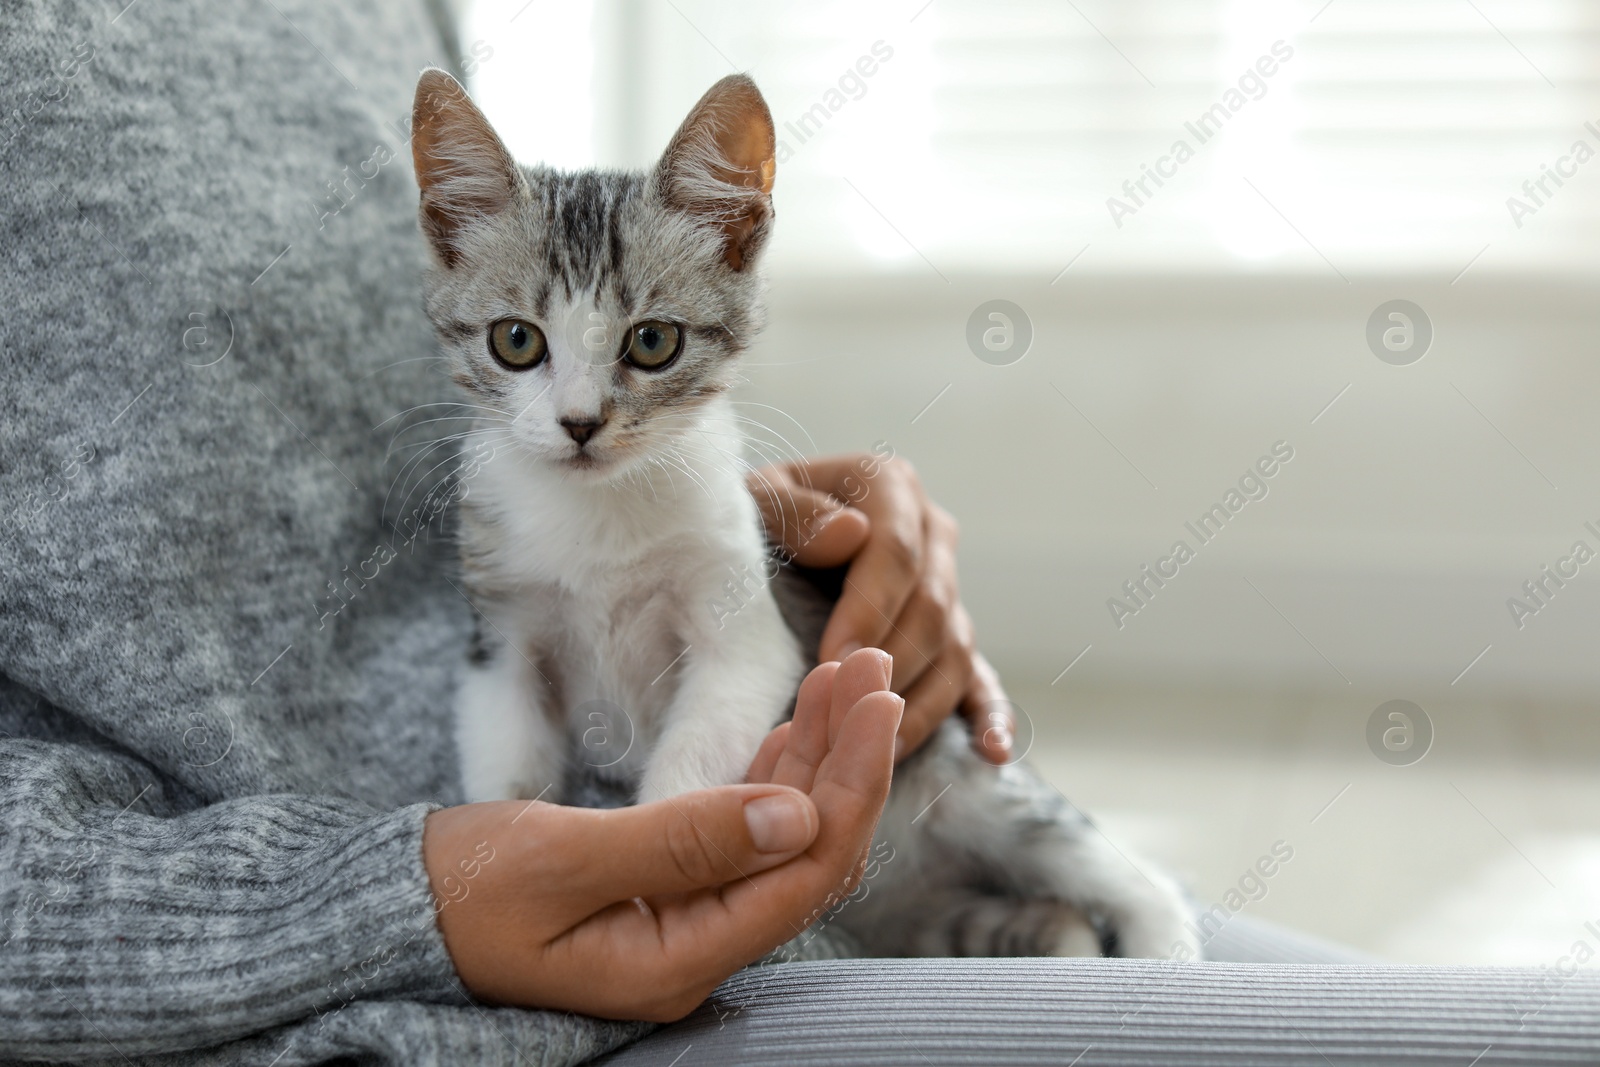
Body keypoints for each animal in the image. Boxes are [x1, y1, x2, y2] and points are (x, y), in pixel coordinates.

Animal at [412, 70, 1203, 966]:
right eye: (516, 340)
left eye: (652, 342)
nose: (580, 424)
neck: (599, 513)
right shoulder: (500, 643)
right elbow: (505, 765)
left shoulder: (748, 628)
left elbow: (696, 754)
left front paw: (649, 873)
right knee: (1050, 915)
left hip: (965, 770)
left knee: (1119, 866)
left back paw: (1166, 948)